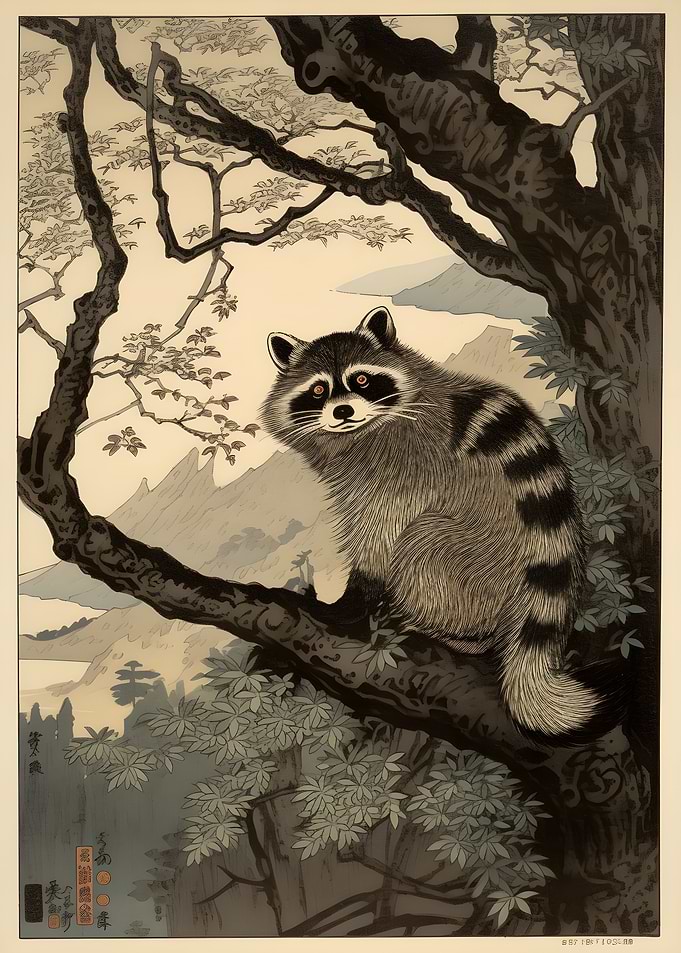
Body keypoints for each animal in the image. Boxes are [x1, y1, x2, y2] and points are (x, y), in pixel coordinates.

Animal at [261, 306, 606, 741]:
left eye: (361, 379)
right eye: (319, 390)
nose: (342, 411)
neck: (366, 427)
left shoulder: (406, 462)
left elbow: (383, 527)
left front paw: (355, 595)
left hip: (473, 559)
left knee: (422, 542)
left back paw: (453, 631)